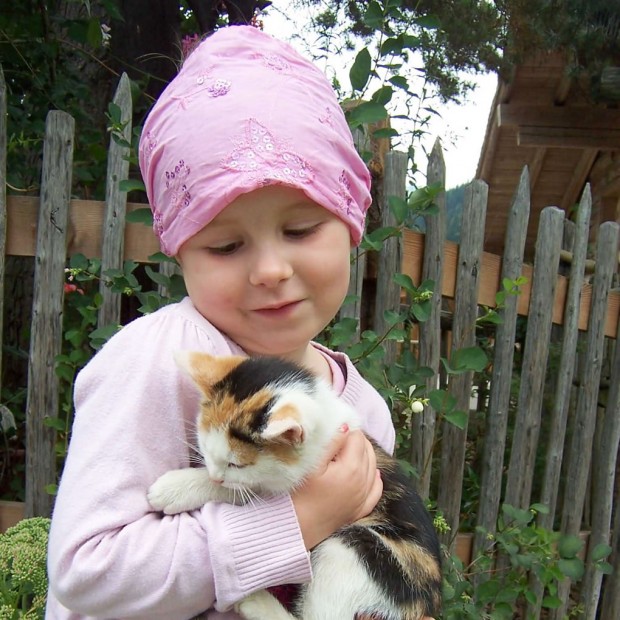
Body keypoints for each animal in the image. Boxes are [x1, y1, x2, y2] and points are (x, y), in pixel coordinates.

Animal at [148, 354, 444, 620]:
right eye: (205, 448)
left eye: (237, 464)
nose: (215, 475)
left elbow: (239, 489)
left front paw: (172, 489)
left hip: (355, 547)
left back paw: (256, 602)